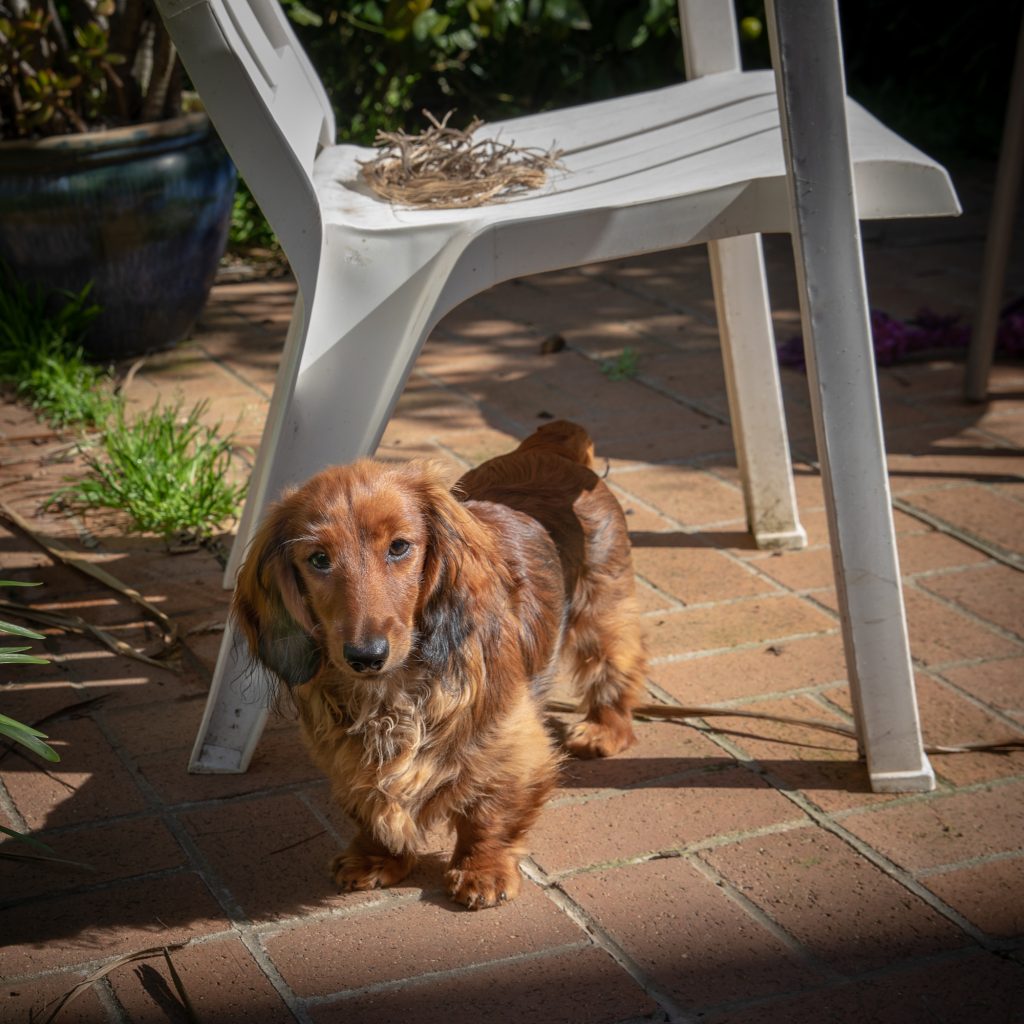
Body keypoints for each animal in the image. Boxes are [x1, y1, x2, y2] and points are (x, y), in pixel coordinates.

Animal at [235, 419, 643, 909]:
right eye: (318, 559)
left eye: (399, 547)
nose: (366, 656)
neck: (393, 694)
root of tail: (553, 444)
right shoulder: (345, 752)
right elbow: (370, 802)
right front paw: (376, 857)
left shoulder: (510, 740)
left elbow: (492, 811)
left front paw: (482, 870)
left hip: (602, 610)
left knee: (617, 668)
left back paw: (604, 729)